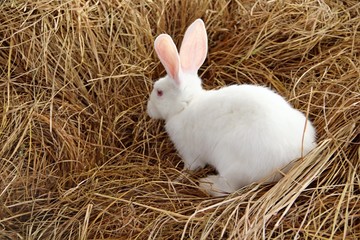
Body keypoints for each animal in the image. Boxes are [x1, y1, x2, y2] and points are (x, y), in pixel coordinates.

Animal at [146, 18, 316, 195]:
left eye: (159, 92)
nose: (148, 110)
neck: (187, 105)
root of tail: (293, 157)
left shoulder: (190, 153)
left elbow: (191, 167)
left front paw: (177, 178)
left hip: (230, 163)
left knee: (228, 188)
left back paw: (206, 183)